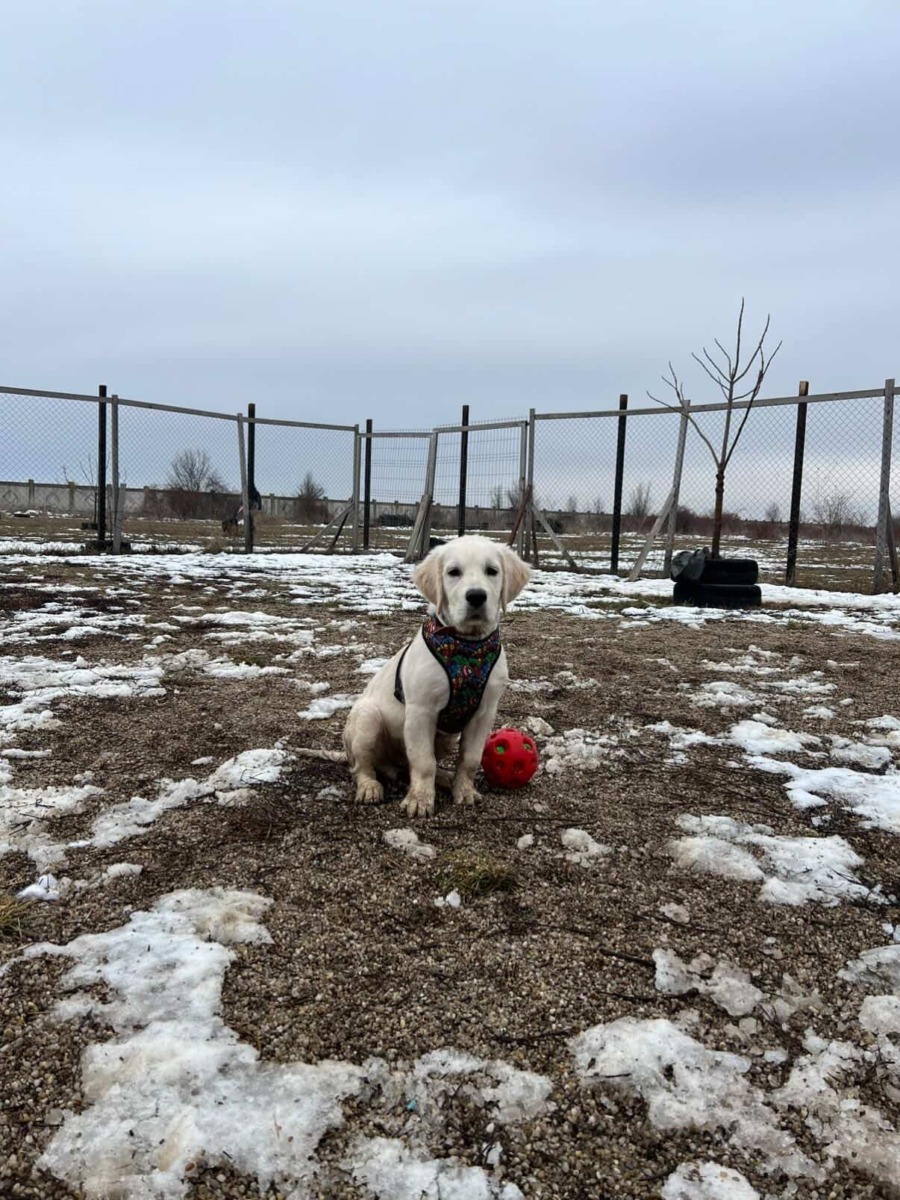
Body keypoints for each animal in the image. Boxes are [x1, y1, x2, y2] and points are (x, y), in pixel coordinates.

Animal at [339, 535, 531, 817]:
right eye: (453, 572)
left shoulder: (484, 712)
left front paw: (464, 791)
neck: (467, 647)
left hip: (446, 738)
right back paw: (369, 787)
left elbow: (470, 758)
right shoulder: (421, 711)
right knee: (362, 766)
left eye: (492, 571)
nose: (476, 596)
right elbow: (423, 760)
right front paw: (420, 800)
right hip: (367, 718)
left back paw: (444, 777)